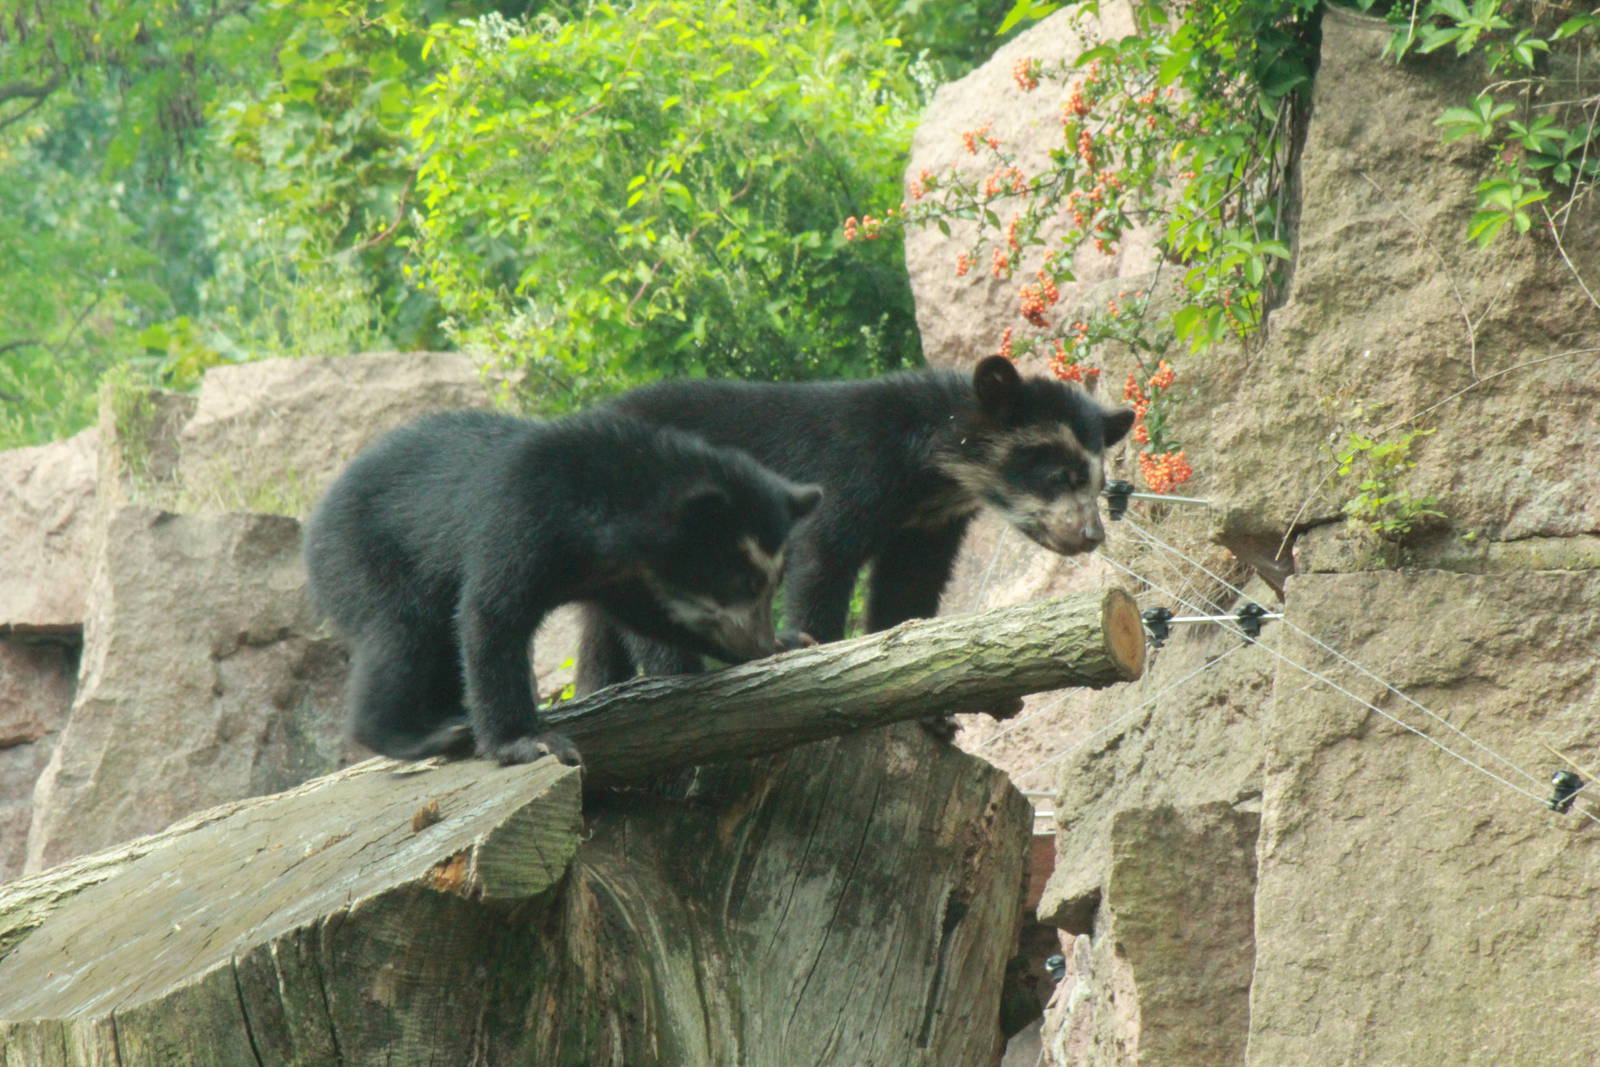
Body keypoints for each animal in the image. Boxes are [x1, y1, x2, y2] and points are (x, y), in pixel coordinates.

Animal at [304, 408, 822, 765]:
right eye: (742, 579)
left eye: (774, 581)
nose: (758, 642)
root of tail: (318, 513)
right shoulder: (521, 521)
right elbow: (491, 615)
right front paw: (528, 742)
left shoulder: (623, 576)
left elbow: (655, 618)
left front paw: (791, 640)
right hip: (365, 554)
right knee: (400, 636)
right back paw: (419, 734)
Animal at [576, 355, 1135, 705]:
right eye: (1059, 476)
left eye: (1097, 481)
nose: (1091, 536)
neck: (930, 474)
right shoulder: (850, 470)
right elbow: (823, 556)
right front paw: (817, 655)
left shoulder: (928, 522)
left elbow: (907, 584)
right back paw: (676, 677)